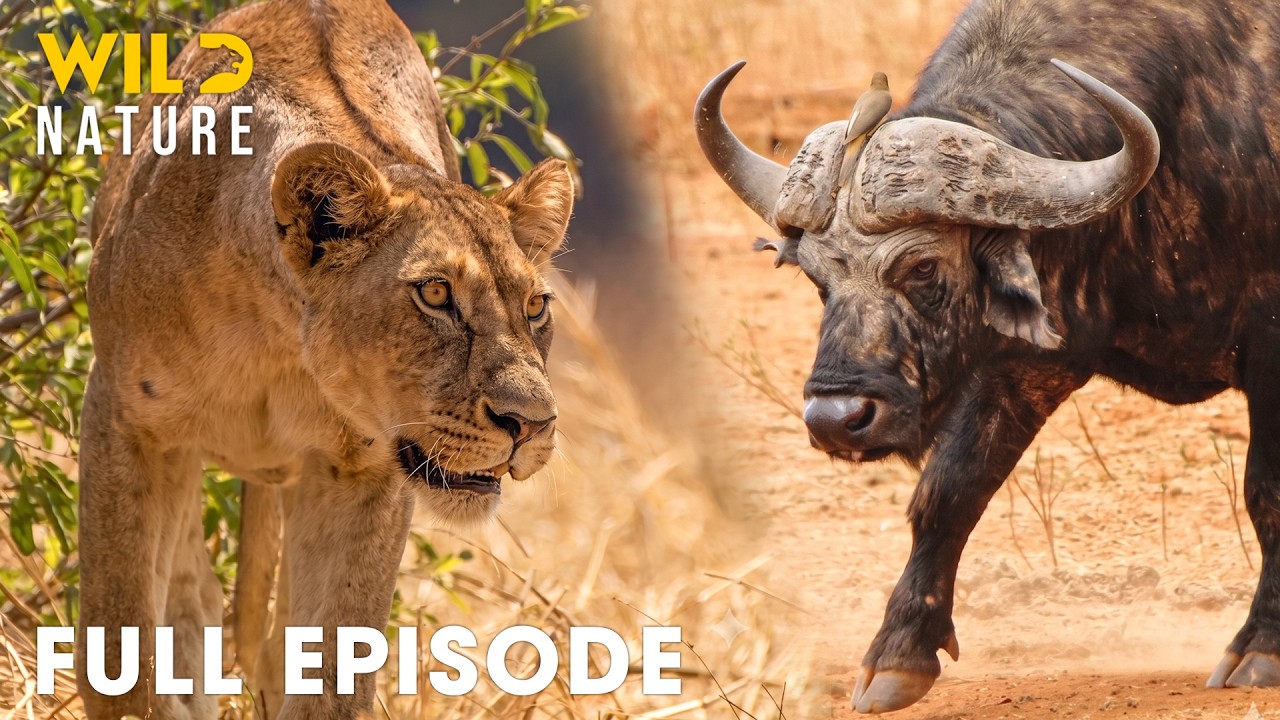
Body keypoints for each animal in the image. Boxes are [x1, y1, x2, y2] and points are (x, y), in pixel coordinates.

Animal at [78, 0, 574, 717]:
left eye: (535, 306)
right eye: (435, 294)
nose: (531, 424)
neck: (280, 344)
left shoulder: (365, 471)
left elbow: (332, 670)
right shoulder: (123, 419)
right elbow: (119, 649)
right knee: (192, 597)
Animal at [695, 0, 1280, 713]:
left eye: (922, 267)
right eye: (814, 275)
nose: (836, 420)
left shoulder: (1272, 348)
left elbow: (1266, 491)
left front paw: (1261, 645)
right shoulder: (1023, 360)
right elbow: (948, 489)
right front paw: (900, 652)